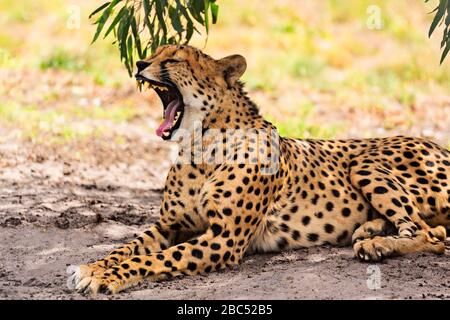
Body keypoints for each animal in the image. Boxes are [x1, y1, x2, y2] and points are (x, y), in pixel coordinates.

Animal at [67, 45, 450, 296]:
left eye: (173, 58)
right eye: (154, 51)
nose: (140, 62)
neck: (200, 146)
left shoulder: (224, 239)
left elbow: (157, 259)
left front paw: (106, 277)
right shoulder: (170, 226)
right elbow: (126, 248)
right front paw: (92, 267)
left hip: (365, 162)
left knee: (432, 235)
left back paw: (377, 244)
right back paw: (370, 230)